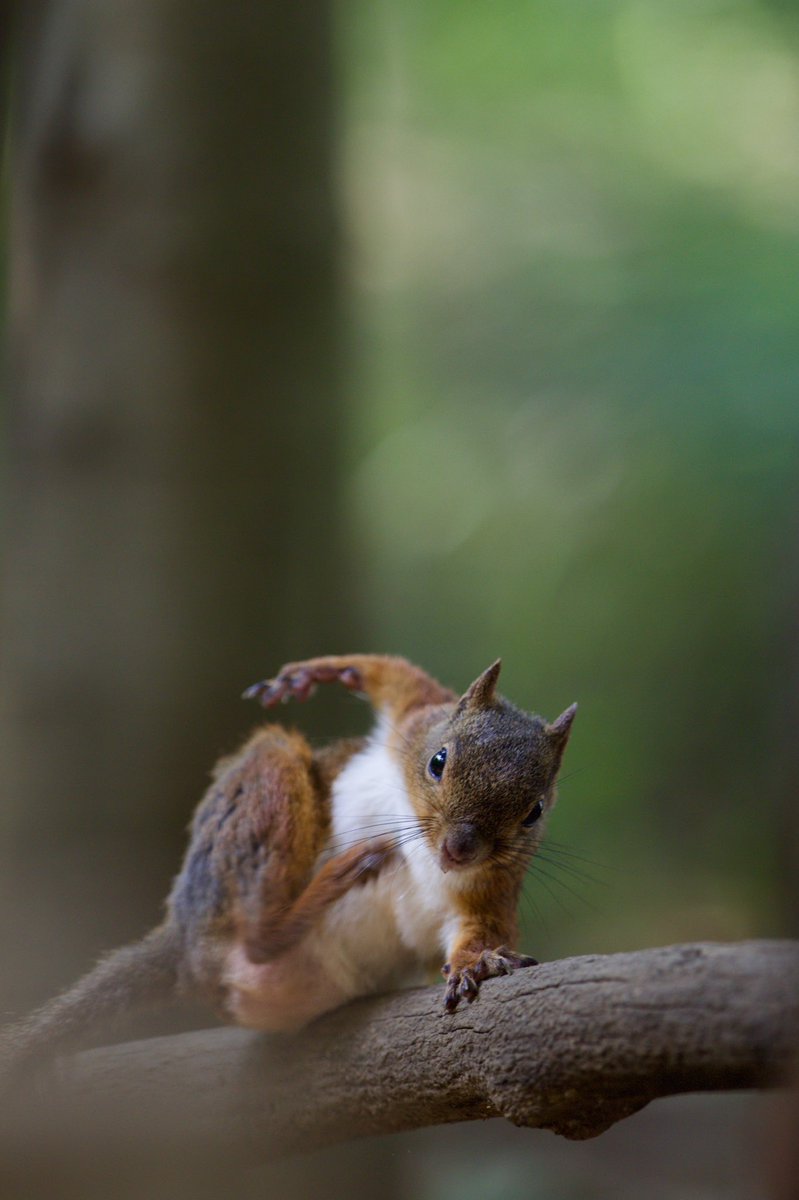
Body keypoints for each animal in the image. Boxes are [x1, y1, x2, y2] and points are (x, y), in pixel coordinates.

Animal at [0, 657, 573, 1080]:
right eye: (438, 760)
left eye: (535, 812)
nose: (459, 849)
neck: (422, 849)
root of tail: (187, 944)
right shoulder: (414, 716)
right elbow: (393, 673)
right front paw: (317, 673)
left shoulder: (490, 891)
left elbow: (483, 930)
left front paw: (479, 962)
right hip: (265, 788)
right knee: (260, 933)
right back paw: (338, 876)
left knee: (259, 951)